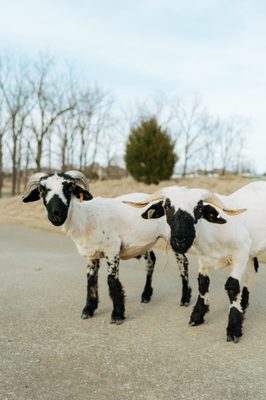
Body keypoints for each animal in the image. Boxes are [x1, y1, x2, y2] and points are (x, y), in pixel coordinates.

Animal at [21, 170, 191, 324]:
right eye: (42, 188)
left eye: (70, 187)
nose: (57, 215)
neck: (86, 219)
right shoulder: (90, 255)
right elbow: (91, 281)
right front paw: (88, 309)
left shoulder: (112, 249)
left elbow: (112, 281)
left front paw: (117, 314)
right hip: (143, 242)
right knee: (151, 260)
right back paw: (146, 295)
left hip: (173, 237)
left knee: (183, 262)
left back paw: (185, 298)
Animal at [124, 183, 264, 342]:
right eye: (167, 206)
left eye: (199, 209)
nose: (180, 240)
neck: (213, 232)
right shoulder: (203, 257)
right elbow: (203, 283)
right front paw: (197, 316)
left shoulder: (240, 253)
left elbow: (232, 286)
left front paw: (234, 328)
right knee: (253, 269)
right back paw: (244, 305)